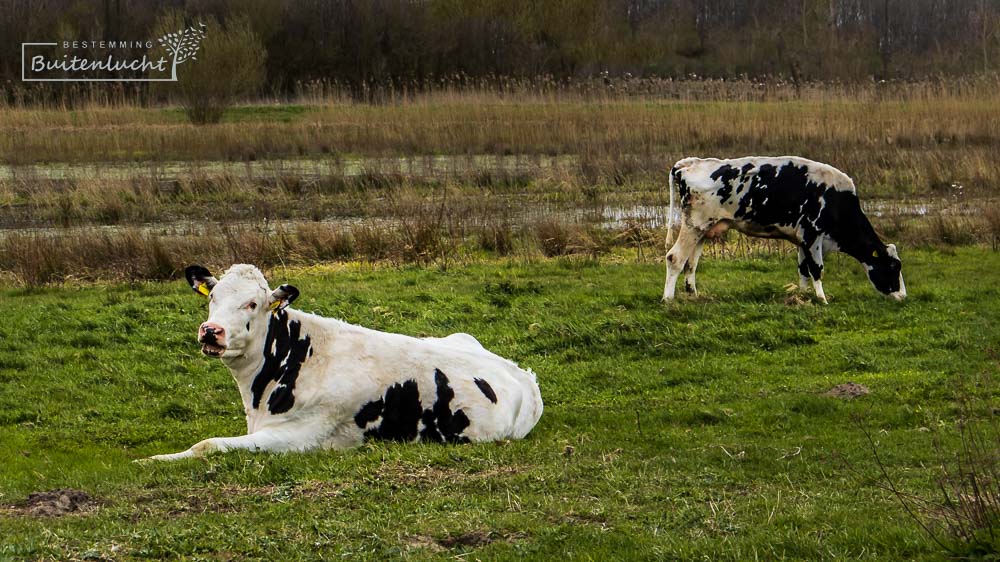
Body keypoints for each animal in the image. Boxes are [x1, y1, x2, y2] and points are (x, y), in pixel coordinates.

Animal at [146, 262, 544, 460]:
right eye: (212, 297)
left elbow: (208, 445)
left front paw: (151, 461)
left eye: (252, 304)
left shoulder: (300, 435)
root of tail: (523, 373)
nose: (211, 331)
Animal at [664, 155, 908, 304]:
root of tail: (690, 163)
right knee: (675, 258)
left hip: (704, 230)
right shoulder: (812, 235)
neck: (836, 199)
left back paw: (693, 294)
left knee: (691, 264)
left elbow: (803, 269)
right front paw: (822, 299)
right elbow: (817, 268)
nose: (903, 296)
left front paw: (803, 295)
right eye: (893, 267)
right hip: (693, 226)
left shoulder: (802, 239)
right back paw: (668, 299)